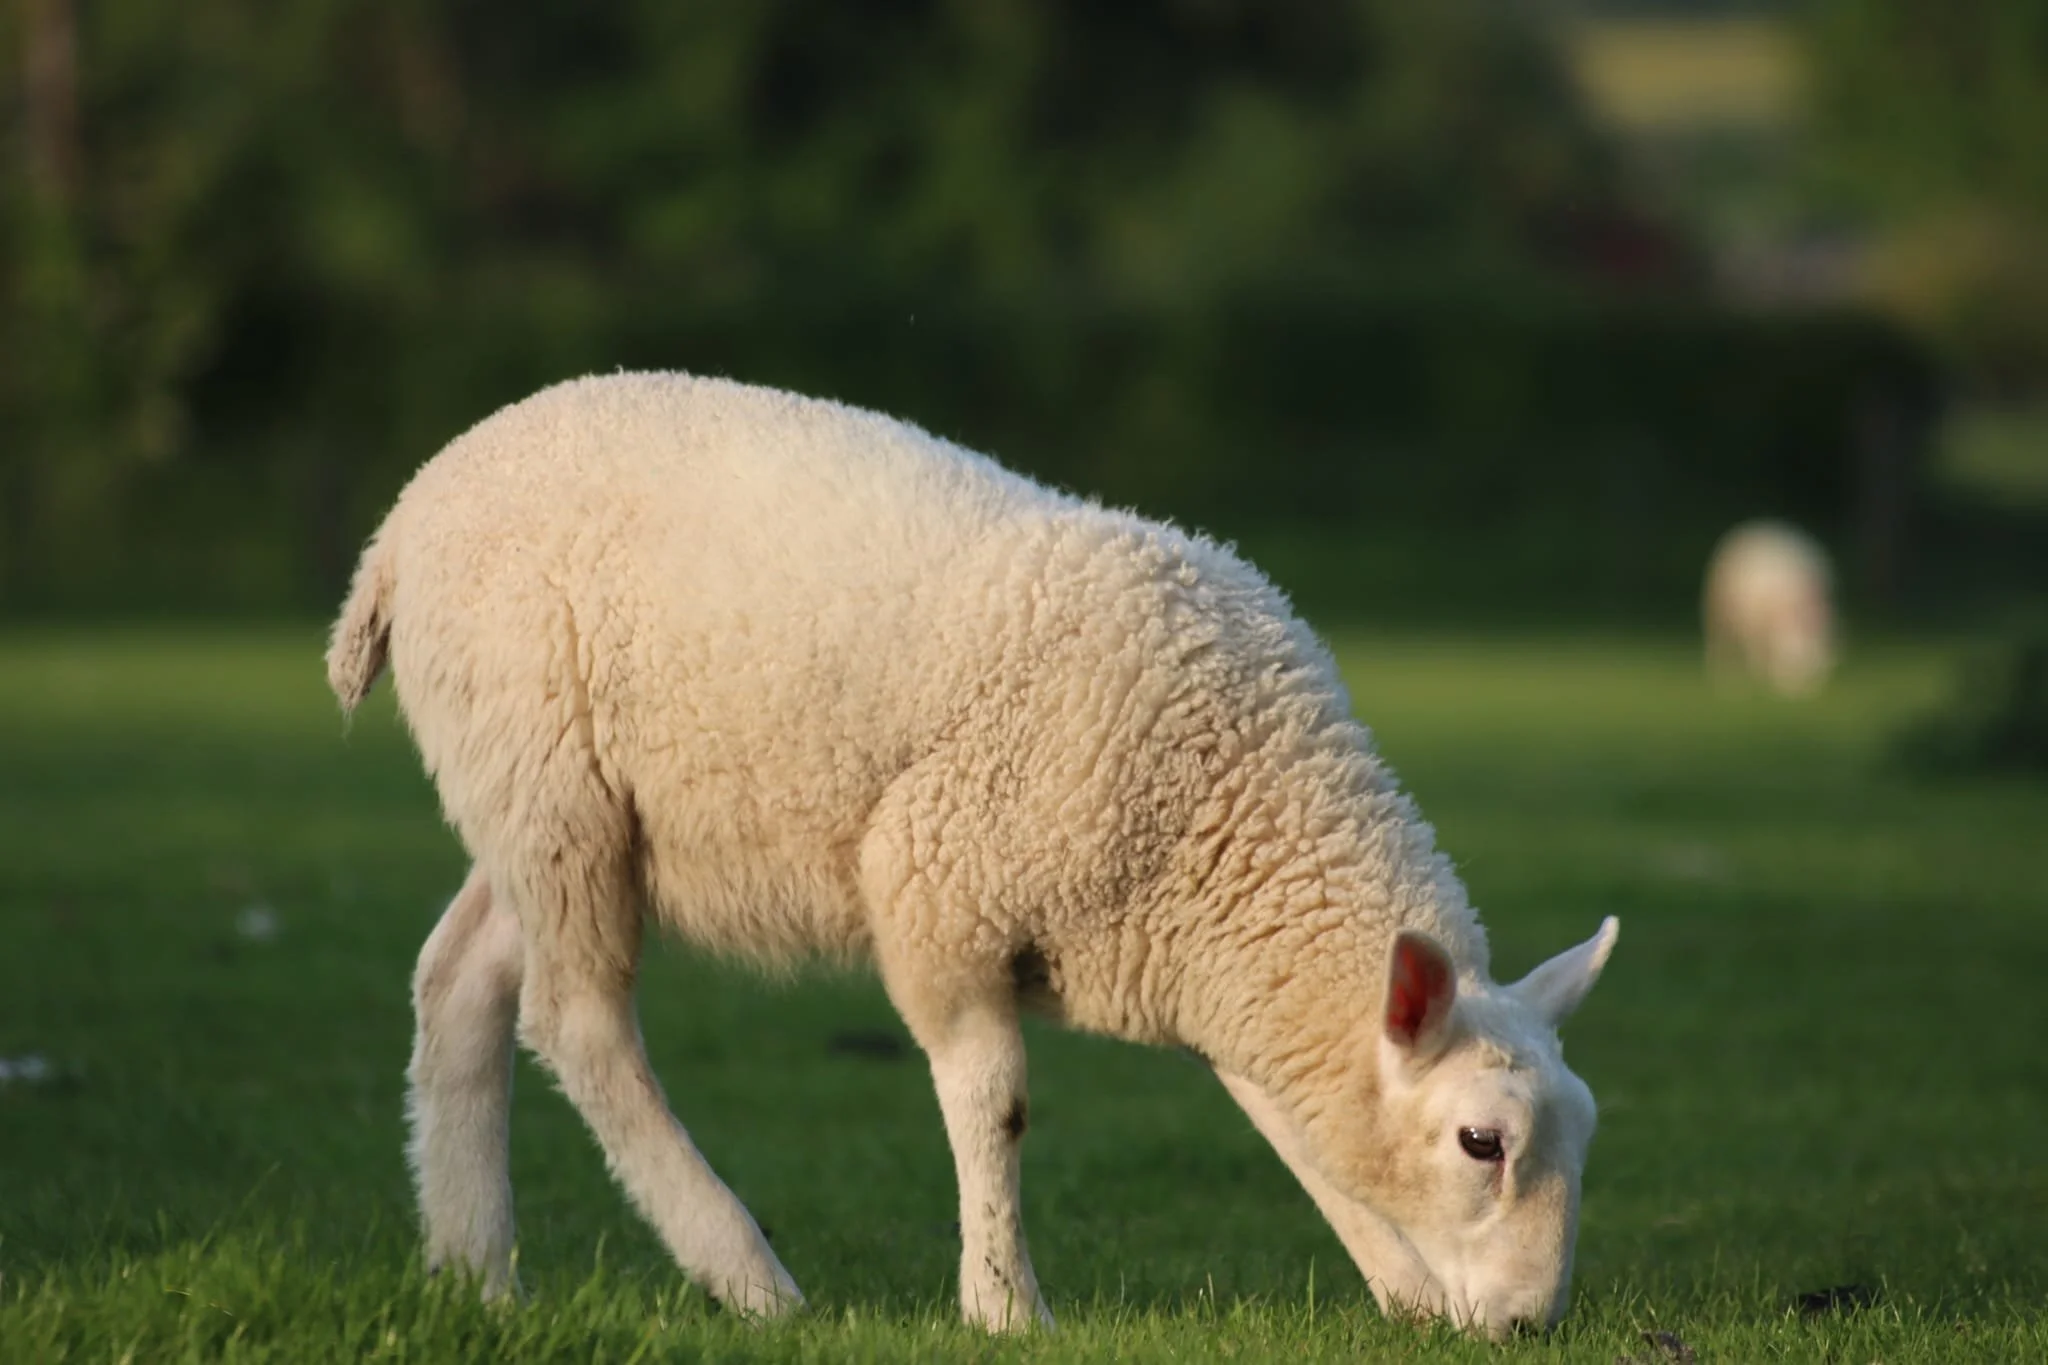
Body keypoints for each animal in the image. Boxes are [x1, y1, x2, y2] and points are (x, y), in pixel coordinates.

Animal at [327, 370, 1620, 1340]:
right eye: (1482, 1143)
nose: (1528, 1328)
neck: (1229, 816)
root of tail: (399, 526)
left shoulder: (1199, 953)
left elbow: (1289, 1126)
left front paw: (1400, 1291)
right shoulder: (938, 889)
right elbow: (994, 1105)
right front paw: (1002, 1306)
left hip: (534, 793)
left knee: (462, 977)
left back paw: (475, 1273)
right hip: (547, 769)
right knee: (579, 1021)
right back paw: (743, 1274)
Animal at [1702, 519, 1837, 696]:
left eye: (1813, 665)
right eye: (1787, 659)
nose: (1796, 693)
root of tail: (1759, 523)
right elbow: (1759, 652)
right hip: (1718, 613)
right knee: (1720, 644)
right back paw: (1725, 678)